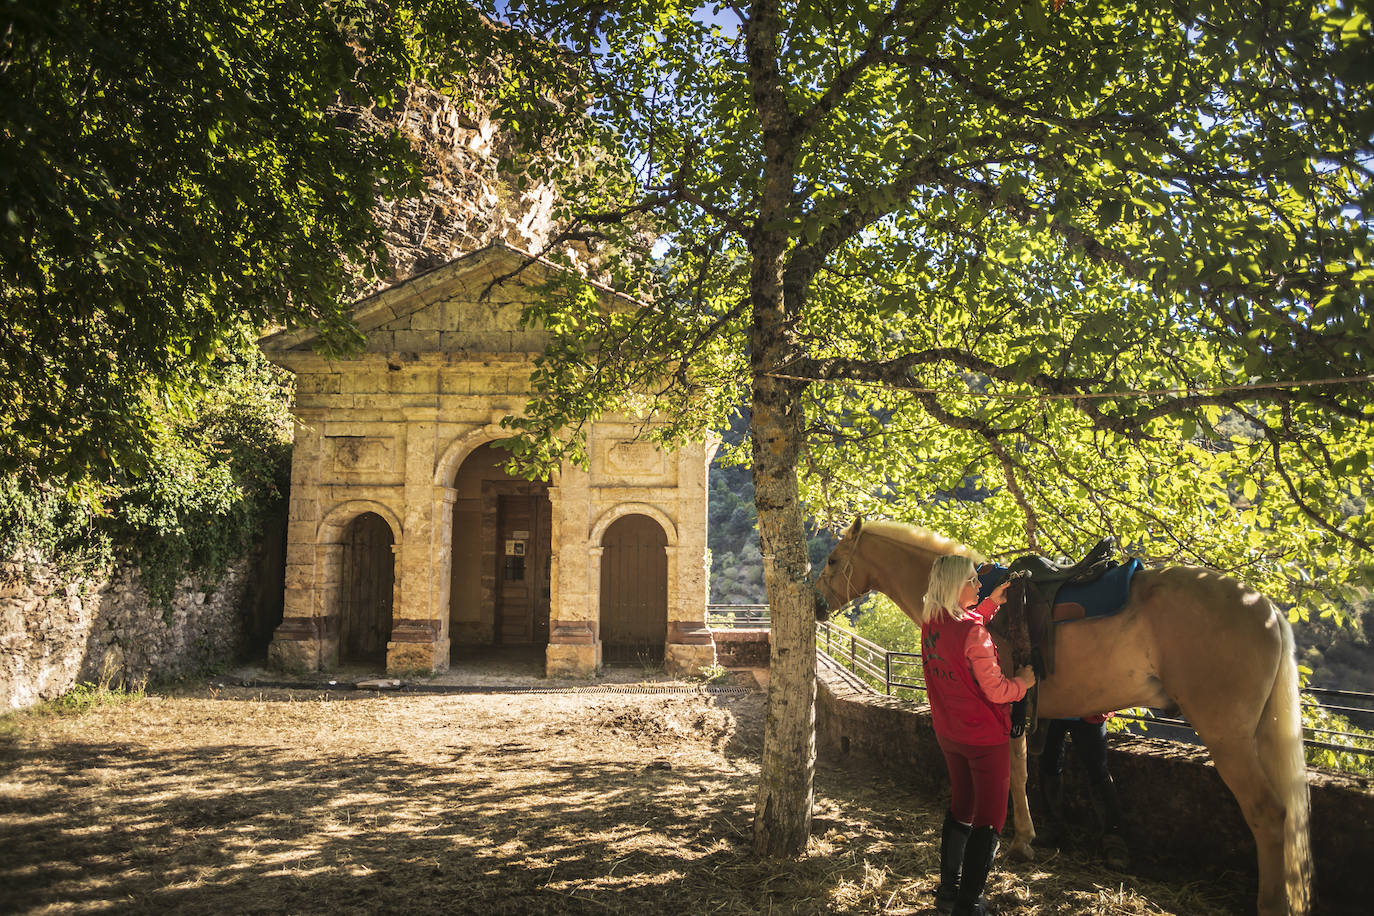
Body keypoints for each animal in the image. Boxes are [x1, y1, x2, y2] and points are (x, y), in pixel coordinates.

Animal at [813, 519, 1308, 911]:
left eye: (834, 560)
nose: (816, 606)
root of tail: (1264, 608)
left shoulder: (1007, 709)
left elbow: (1013, 774)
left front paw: (1020, 842)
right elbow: (1029, 770)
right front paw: (1033, 836)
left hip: (1230, 738)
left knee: (1269, 815)